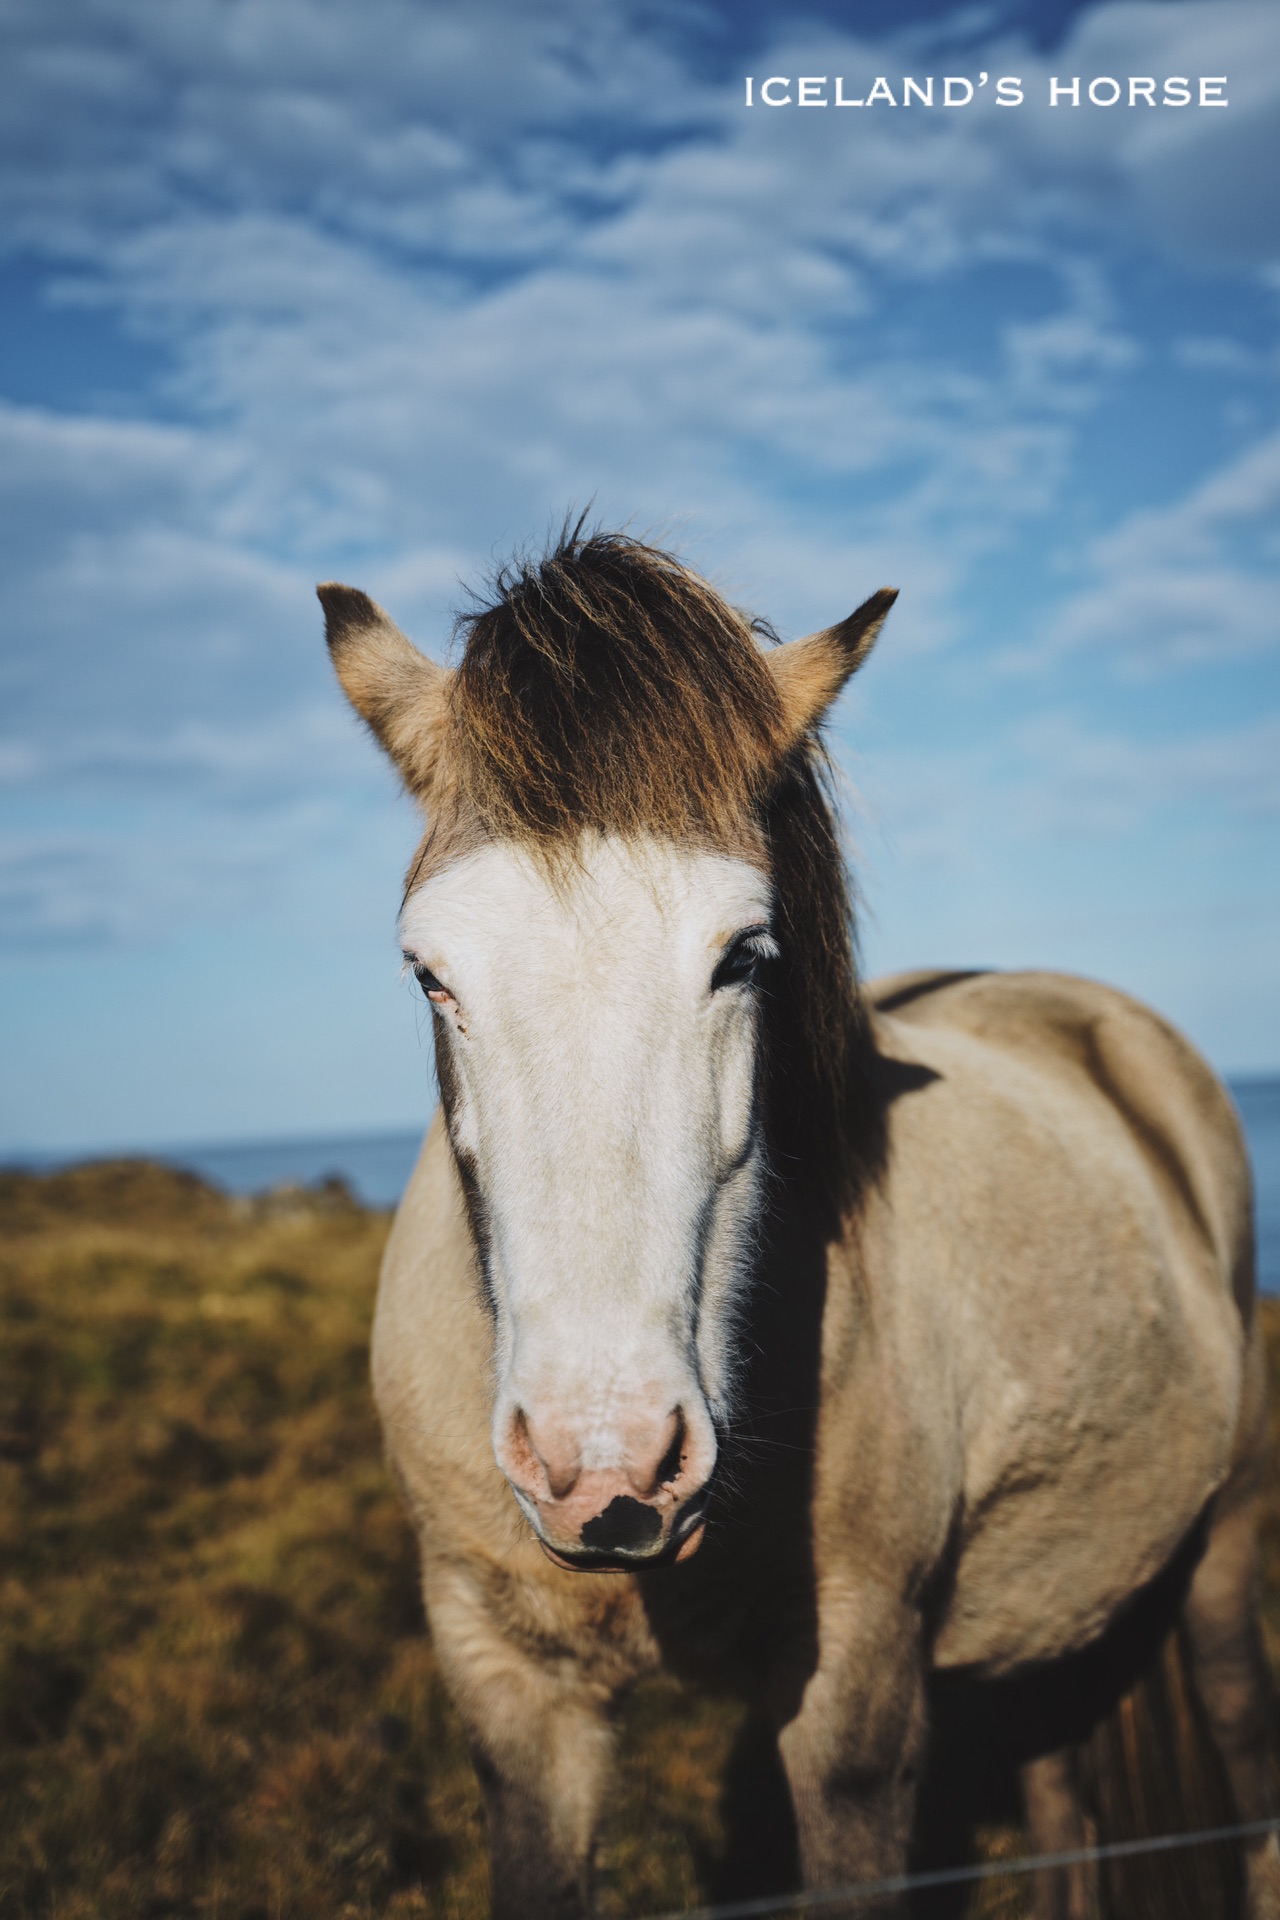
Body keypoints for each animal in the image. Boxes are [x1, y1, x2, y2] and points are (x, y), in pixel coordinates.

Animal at [320, 529, 1280, 1920]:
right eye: (428, 973)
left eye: (742, 955)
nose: (603, 1465)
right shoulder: (510, 1691)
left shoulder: (852, 1707)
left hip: (1216, 1563)